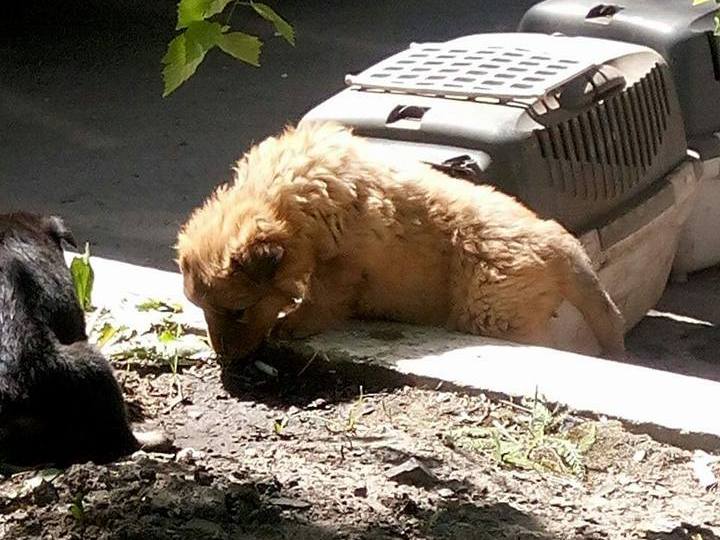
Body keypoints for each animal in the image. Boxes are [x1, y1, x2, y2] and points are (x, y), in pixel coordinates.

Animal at [179, 120, 624, 360]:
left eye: (238, 311)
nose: (224, 360)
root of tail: (557, 240)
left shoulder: (345, 260)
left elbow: (323, 296)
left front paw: (295, 323)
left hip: (493, 309)